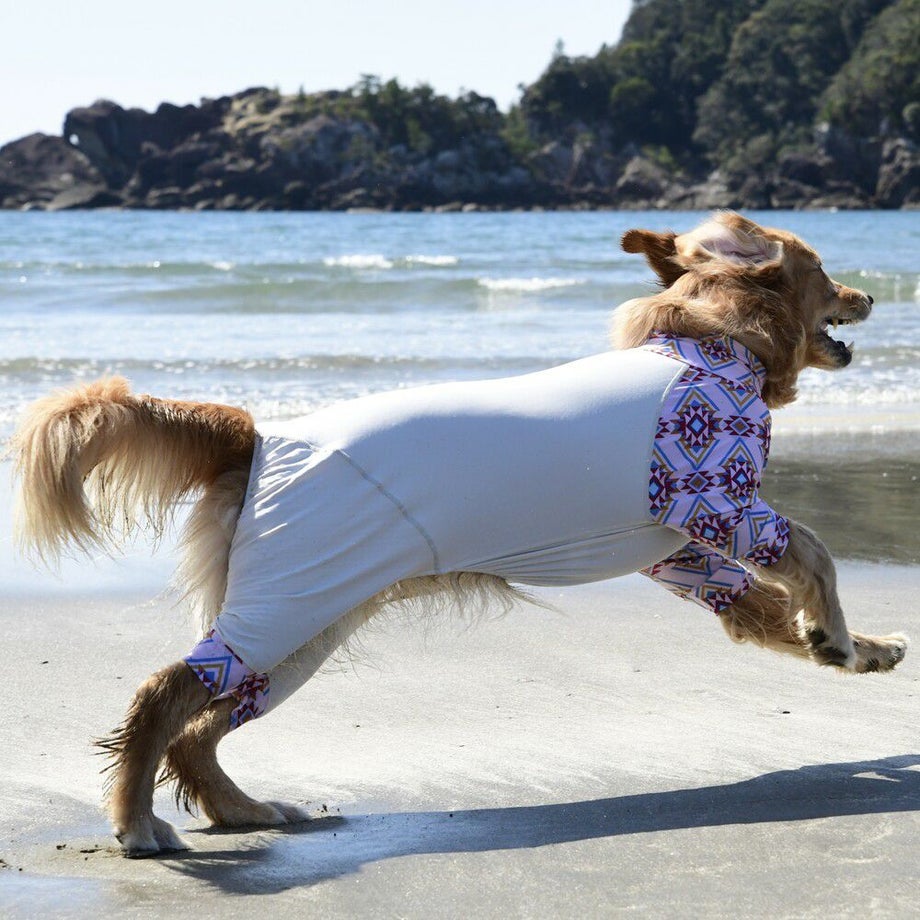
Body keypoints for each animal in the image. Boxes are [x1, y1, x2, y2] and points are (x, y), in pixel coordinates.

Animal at [12, 211, 908, 858]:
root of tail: (259, 435)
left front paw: (858, 648)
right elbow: (815, 551)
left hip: (301, 627)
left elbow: (761, 606)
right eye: (823, 267)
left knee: (200, 733)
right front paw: (836, 632)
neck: (712, 346)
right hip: (289, 604)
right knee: (165, 694)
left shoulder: (683, 555)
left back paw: (243, 809)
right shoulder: (716, 501)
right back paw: (135, 821)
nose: (872, 296)